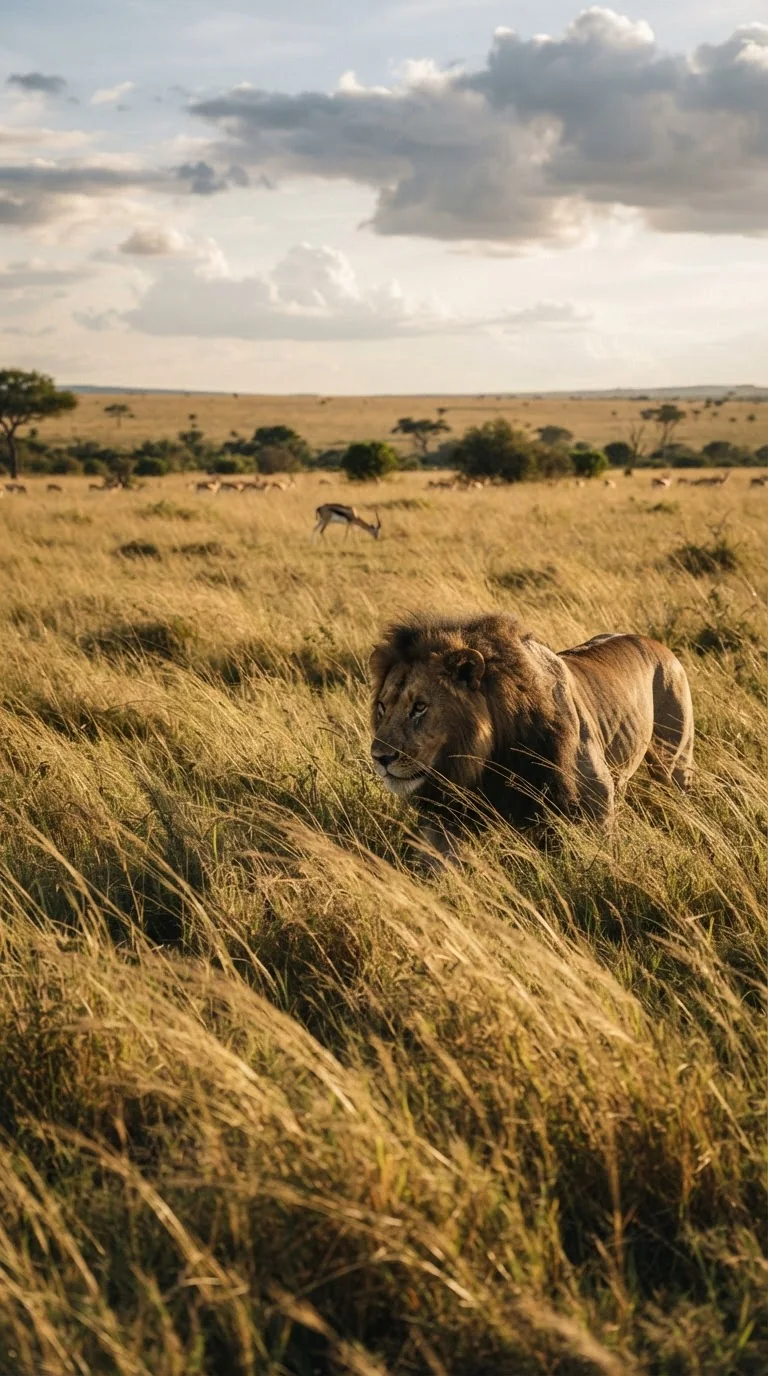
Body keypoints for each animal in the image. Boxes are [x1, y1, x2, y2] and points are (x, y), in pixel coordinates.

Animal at [369, 613, 694, 863]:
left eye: (419, 707)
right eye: (382, 707)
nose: (380, 758)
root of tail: (655, 642)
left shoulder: (598, 799)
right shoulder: (448, 815)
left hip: (673, 761)